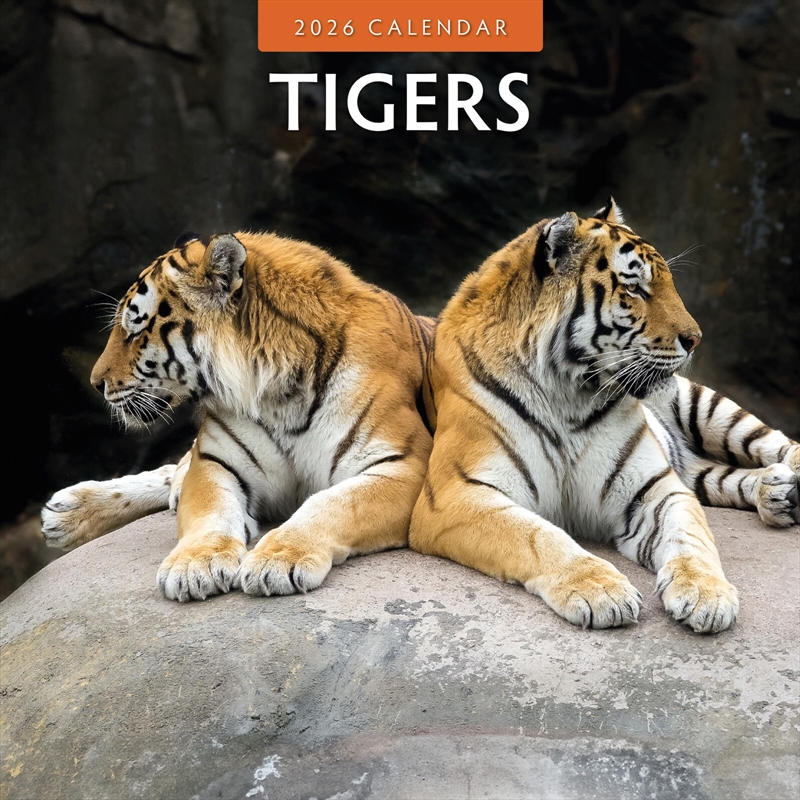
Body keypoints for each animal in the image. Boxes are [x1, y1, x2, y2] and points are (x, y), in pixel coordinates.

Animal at [42, 231, 434, 602]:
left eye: (135, 330)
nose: (96, 384)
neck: (278, 391)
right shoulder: (215, 461)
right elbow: (211, 511)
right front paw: (195, 565)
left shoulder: (404, 465)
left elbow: (331, 504)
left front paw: (277, 560)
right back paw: (67, 511)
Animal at [409, 198, 798, 634]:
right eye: (634, 288)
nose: (696, 339)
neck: (567, 394)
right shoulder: (456, 493)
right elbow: (536, 537)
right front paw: (603, 591)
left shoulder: (654, 487)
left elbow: (691, 537)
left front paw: (706, 594)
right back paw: (776, 493)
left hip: (705, 405)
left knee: (776, 443)